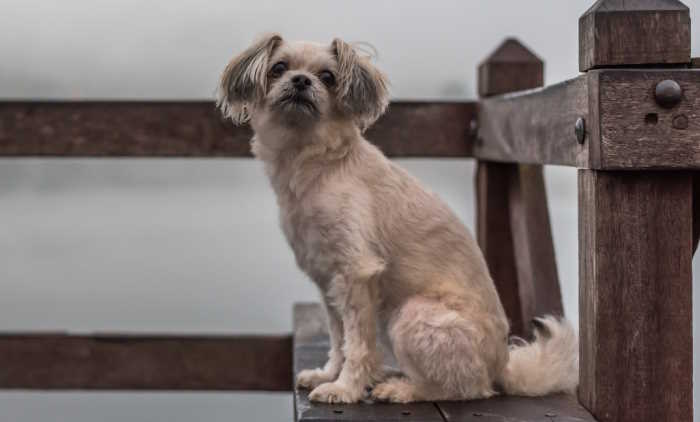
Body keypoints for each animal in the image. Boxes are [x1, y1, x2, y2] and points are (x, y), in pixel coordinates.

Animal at [216, 34, 576, 404]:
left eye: (328, 77)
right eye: (279, 68)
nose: (301, 80)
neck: (316, 162)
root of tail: (501, 365)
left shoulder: (356, 274)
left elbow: (357, 344)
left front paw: (345, 388)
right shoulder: (328, 281)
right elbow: (339, 338)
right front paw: (329, 375)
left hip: (412, 314)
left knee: (466, 388)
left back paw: (401, 388)